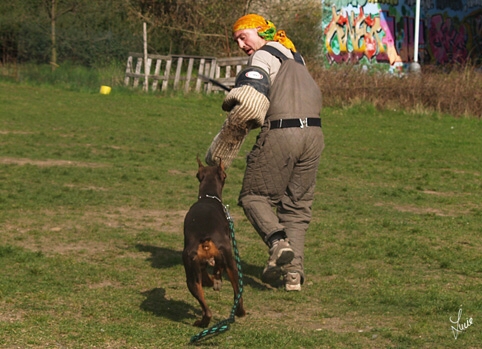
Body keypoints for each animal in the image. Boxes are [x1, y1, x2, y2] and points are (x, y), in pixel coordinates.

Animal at [183, 157, 247, 326]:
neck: (208, 196)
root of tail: (205, 239)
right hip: (232, 263)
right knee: (237, 294)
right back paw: (240, 312)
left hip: (192, 276)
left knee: (208, 309)